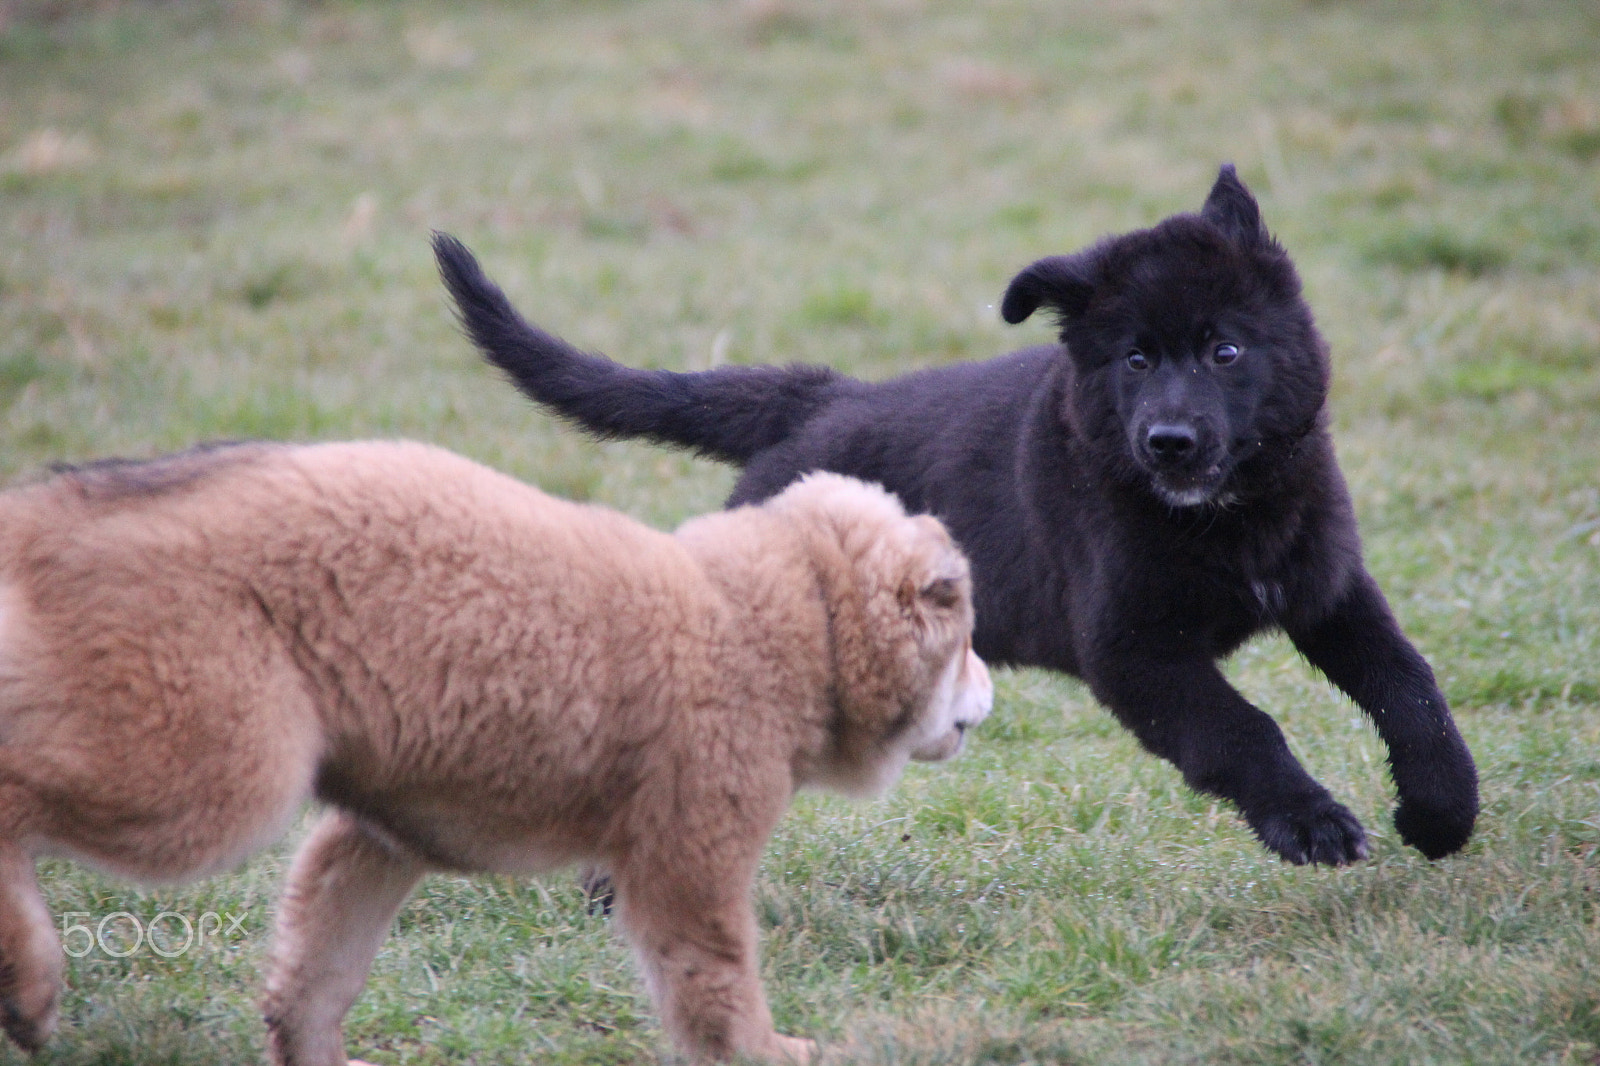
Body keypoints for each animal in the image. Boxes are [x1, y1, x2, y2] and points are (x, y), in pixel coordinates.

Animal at [0, 435, 985, 1056]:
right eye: (966, 631)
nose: (992, 691)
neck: (779, 617)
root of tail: (45, 514)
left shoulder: (380, 835)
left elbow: (317, 971)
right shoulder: (688, 863)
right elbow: (718, 988)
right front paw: (773, 1050)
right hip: (215, 772)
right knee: (17, 795)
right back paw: (31, 984)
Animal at [435, 166, 1472, 864]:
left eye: (1225, 350)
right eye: (1134, 359)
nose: (1169, 442)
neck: (1218, 516)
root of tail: (813, 401)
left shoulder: (1329, 590)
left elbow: (1411, 686)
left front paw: (1442, 812)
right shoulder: (1134, 653)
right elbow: (1243, 730)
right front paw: (1314, 823)